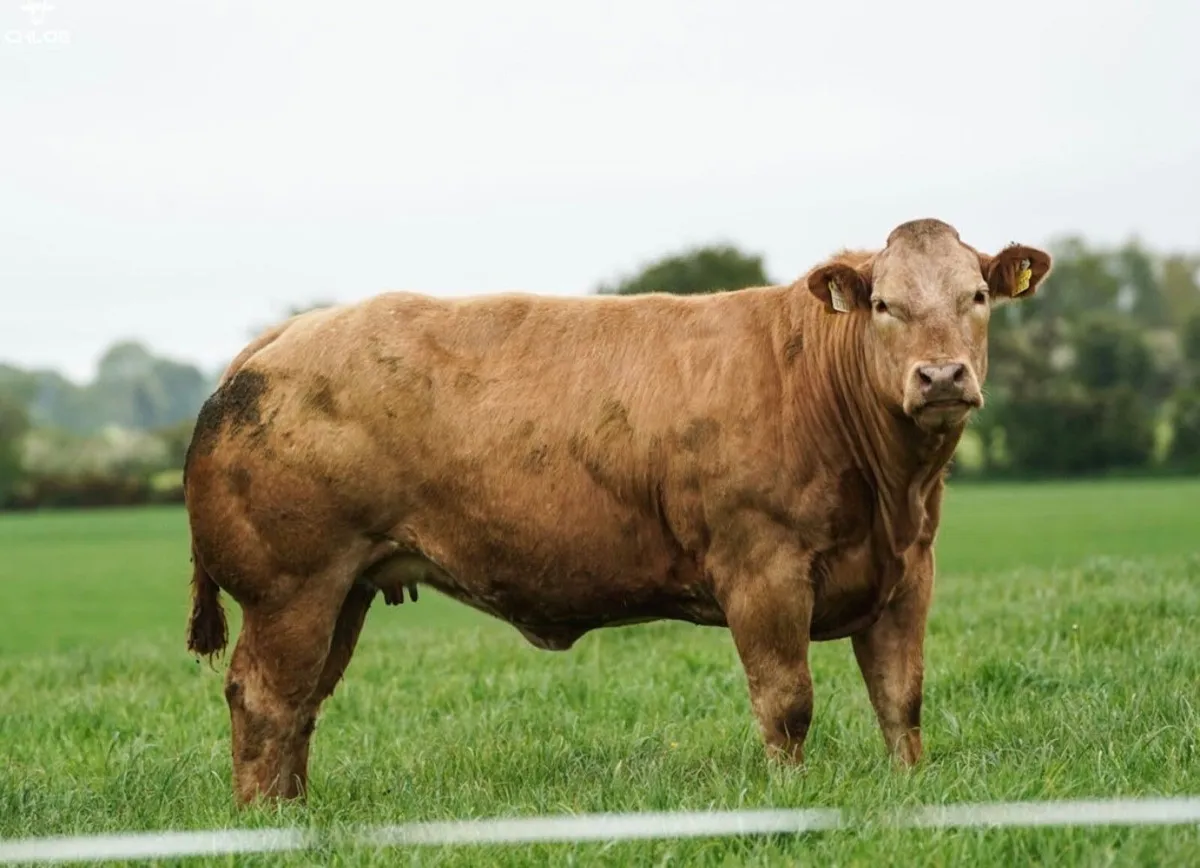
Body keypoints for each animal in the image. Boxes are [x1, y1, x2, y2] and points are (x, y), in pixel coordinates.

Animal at [182, 217, 1052, 805]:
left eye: (977, 296)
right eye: (883, 304)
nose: (941, 377)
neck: (889, 492)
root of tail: (281, 337)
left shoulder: (908, 572)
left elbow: (900, 698)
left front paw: (910, 790)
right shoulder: (762, 571)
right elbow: (787, 703)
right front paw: (791, 801)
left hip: (344, 590)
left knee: (302, 703)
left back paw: (296, 809)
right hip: (293, 588)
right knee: (266, 699)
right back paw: (265, 819)